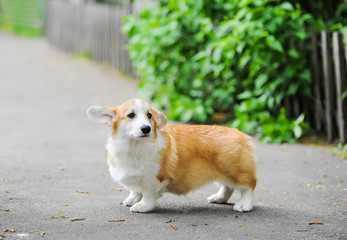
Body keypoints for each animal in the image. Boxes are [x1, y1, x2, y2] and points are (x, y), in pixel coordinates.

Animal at [87, 98, 256, 213]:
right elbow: (135, 190)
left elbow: (147, 194)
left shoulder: (153, 179)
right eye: (131, 115)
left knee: (248, 187)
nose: (146, 129)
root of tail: (241, 133)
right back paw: (219, 198)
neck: (134, 146)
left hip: (236, 171)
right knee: (227, 187)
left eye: (149, 115)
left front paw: (142, 206)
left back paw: (243, 205)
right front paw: (132, 199)